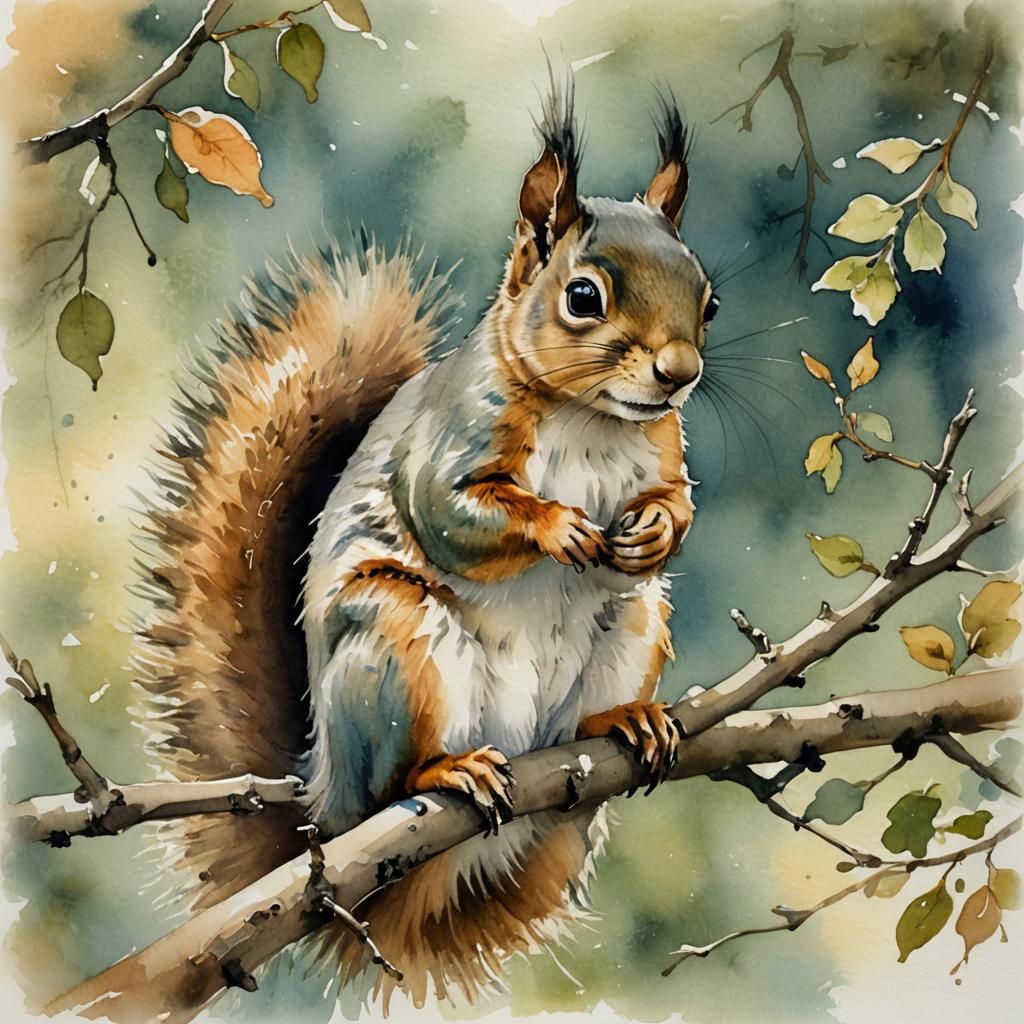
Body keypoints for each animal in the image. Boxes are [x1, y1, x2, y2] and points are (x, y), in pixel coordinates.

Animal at [134, 80, 717, 1010]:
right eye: (583, 297)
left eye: (709, 301)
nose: (679, 373)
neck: (591, 419)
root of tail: (323, 800)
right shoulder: (449, 443)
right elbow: (450, 511)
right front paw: (559, 525)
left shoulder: (662, 452)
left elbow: (676, 503)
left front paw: (653, 528)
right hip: (396, 644)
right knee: (390, 781)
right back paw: (447, 773)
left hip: (630, 628)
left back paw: (624, 719)